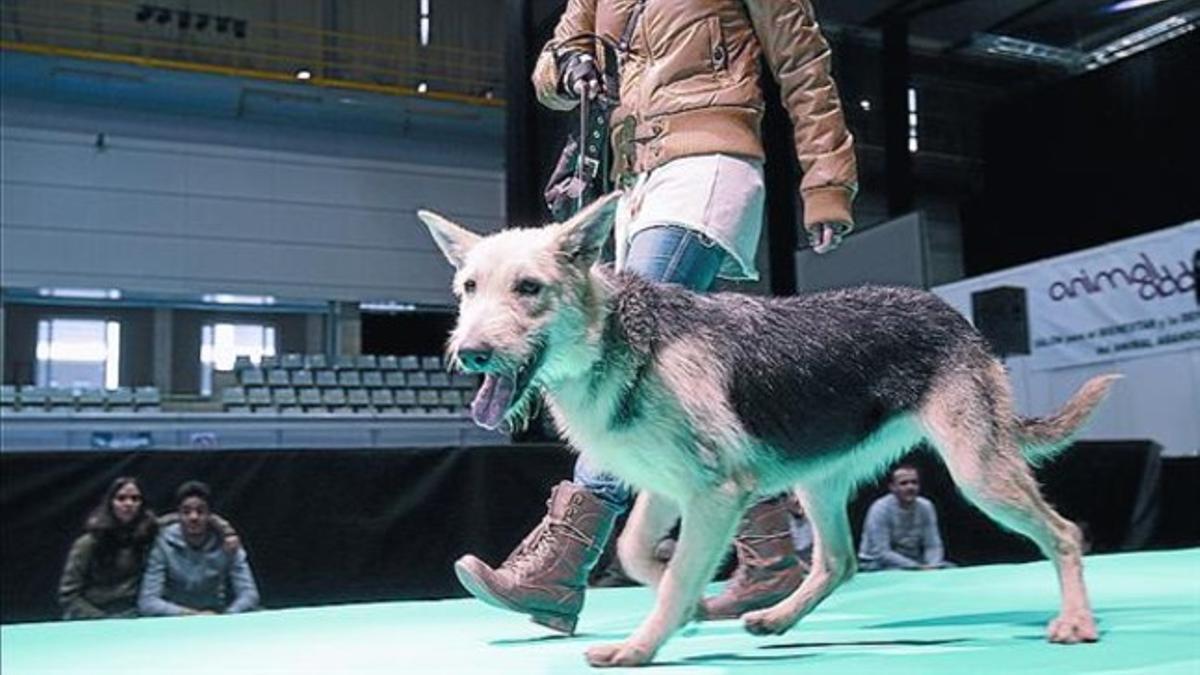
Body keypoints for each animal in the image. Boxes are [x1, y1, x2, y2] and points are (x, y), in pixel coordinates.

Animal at [420, 192, 1113, 662]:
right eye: (469, 288)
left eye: (528, 288)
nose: (470, 352)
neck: (616, 341)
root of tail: (954, 315)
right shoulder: (670, 491)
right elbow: (639, 553)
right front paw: (693, 605)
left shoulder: (716, 493)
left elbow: (672, 576)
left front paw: (642, 645)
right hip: (820, 485)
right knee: (838, 563)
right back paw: (776, 619)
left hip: (980, 474)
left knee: (1064, 534)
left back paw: (1076, 622)